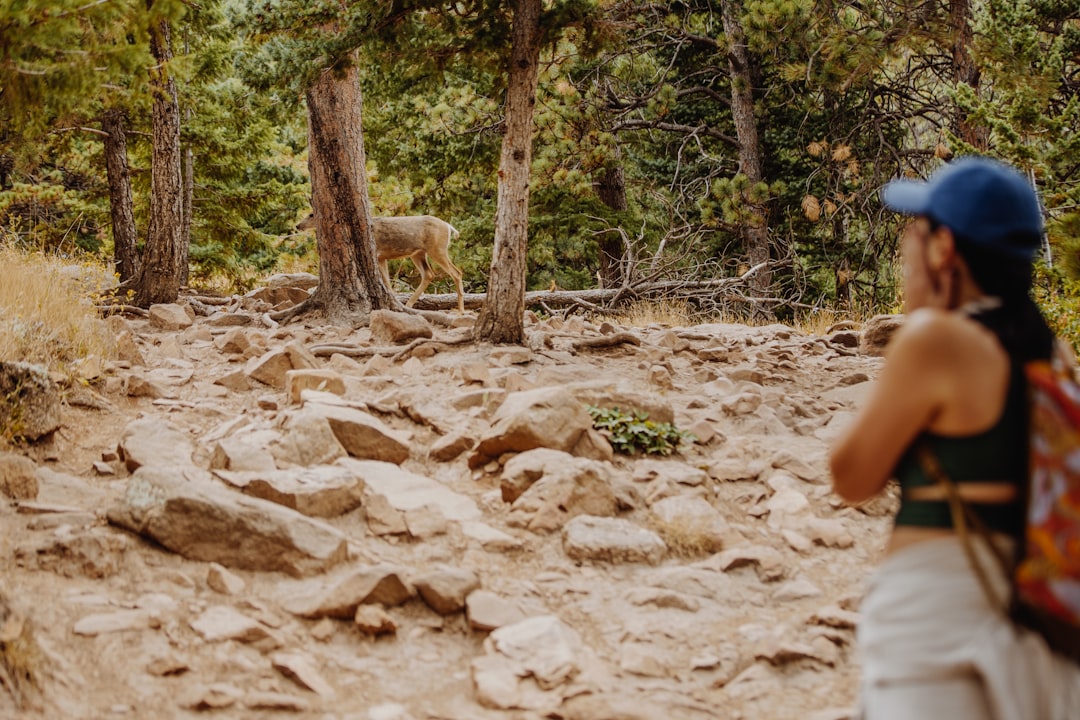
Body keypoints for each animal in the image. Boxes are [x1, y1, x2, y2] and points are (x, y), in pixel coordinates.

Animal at [295, 213, 464, 315]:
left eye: (311, 214)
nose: (298, 225)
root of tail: (448, 226)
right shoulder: (382, 257)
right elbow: (387, 283)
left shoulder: (377, 254)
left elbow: (386, 282)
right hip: (418, 253)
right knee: (429, 274)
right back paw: (409, 305)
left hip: (437, 248)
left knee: (456, 272)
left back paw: (460, 310)